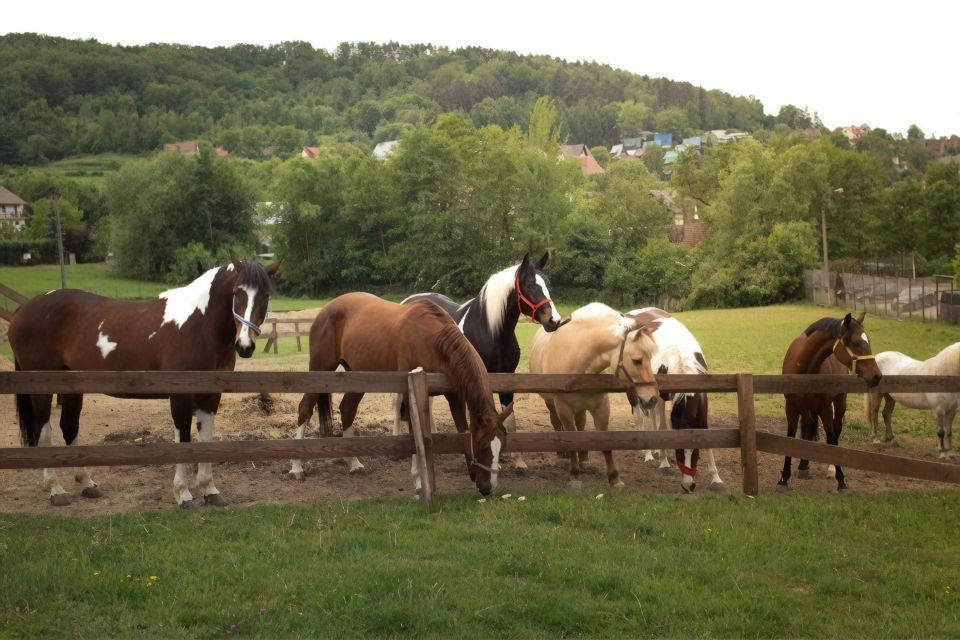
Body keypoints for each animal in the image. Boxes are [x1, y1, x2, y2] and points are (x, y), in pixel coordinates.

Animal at [12, 262, 282, 510]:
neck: (198, 325)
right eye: (238, 292)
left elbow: (205, 440)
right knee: (44, 432)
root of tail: (24, 309)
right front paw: (183, 495)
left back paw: (87, 484)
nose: (245, 345)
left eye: (266, 295)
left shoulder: (211, 395)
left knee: (69, 427)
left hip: (72, 386)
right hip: (42, 388)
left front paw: (210, 491)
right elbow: (184, 440)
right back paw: (56, 490)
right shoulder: (180, 396)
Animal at [288, 292, 512, 498]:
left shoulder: (455, 396)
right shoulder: (409, 393)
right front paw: (419, 482)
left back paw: (354, 463)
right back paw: (296, 467)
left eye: (501, 447)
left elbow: (462, 430)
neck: (432, 339)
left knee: (347, 410)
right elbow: (415, 435)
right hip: (320, 369)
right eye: (483, 446)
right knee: (305, 408)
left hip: (357, 375)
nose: (488, 488)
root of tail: (326, 309)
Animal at [528, 302, 664, 488]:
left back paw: (584, 458)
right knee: (556, 423)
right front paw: (574, 475)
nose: (652, 398)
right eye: (637, 360)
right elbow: (571, 440)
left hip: (581, 408)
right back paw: (562, 456)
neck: (576, 362)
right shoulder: (564, 409)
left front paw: (614, 478)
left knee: (581, 425)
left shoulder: (601, 408)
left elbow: (604, 442)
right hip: (552, 405)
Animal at [628, 308, 724, 492]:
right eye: (678, 449)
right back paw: (649, 455)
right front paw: (664, 463)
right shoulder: (659, 397)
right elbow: (663, 428)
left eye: (696, 451)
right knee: (639, 418)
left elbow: (706, 432)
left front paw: (716, 478)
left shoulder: (703, 399)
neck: (679, 357)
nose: (688, 486)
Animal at [776, 312, 880, 492]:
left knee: (835, 432)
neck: (804, 367)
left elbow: (831, 437)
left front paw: (841, 479)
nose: (877, 376)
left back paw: (830, 467)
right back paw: (803, 465)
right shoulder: (791, 407)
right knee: (809, 428)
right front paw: (784, 477)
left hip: (839, 402)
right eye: (856, 343)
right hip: (807, 408)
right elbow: (791, 436)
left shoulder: (825, 407)